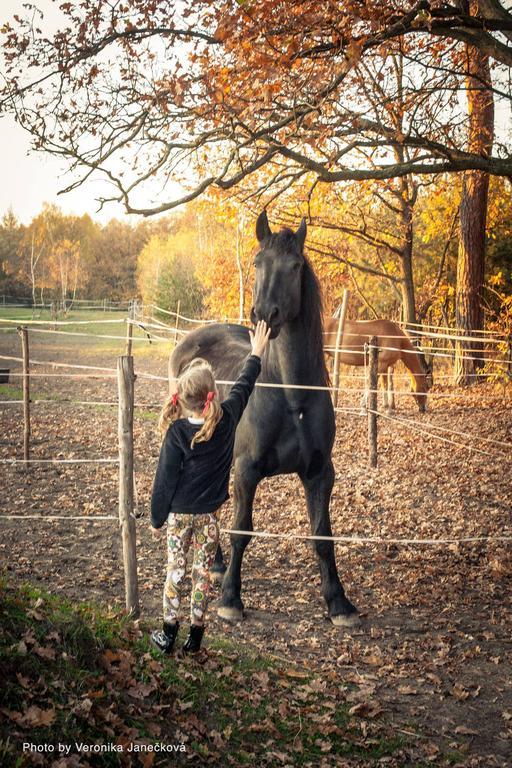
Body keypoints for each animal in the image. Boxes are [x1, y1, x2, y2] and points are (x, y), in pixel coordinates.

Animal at [170, 210, 358, 624]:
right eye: (258, 263)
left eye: (295, 266)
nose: (263, 315)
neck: (291, 395)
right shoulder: (247, 469)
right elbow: (242, 529)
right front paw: (230, 599)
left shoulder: (320, 472)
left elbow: (323, 535)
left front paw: (339, 602)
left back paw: (216, 563)